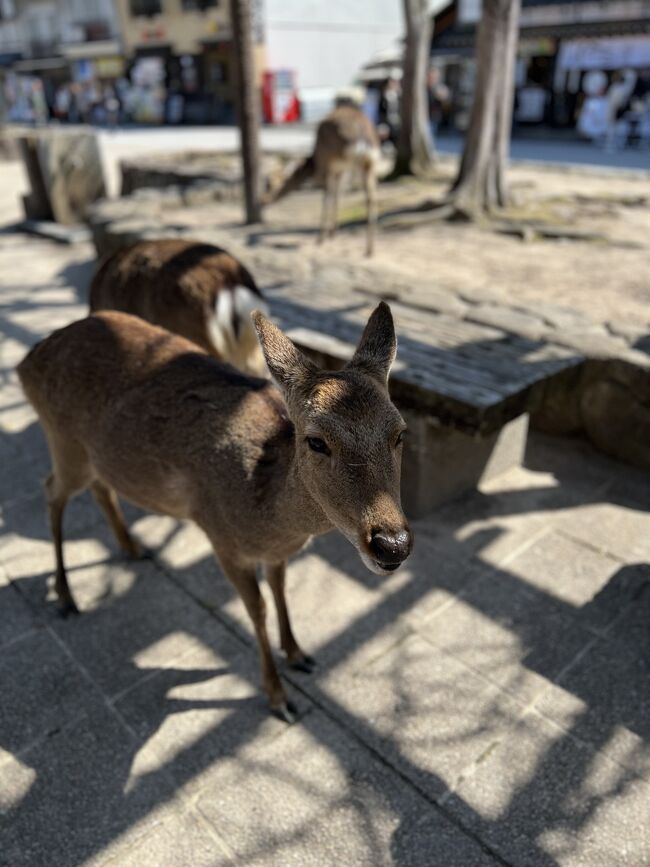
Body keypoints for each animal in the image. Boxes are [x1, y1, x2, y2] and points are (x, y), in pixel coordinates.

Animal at [19, 302, 410, 724]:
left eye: (400, 433)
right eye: (316, 441)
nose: (392, 544)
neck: (265, 513)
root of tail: (28, 359)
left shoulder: (275, 552)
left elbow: (280, 588)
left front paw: (299, 654)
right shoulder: (221, 538)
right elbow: (256, 609)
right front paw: (279, 697)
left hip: (93, 456)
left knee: (99, 487)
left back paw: (134, 549)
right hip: (64, 442)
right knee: (51, 490)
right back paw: (65, 595)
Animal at [264, 103, 380, 256]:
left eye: (270, 184)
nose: (264, 200)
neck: (314, 163)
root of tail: (363, 137)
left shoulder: (327, 167)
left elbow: (328, 197)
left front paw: (323, 237)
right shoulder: (340, 170)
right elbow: (337, 195)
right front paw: (333, 233)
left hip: (341, 160)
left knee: (331, 195)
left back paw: (322, 237)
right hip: (370, 164)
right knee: (371, 197)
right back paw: (369, 249)